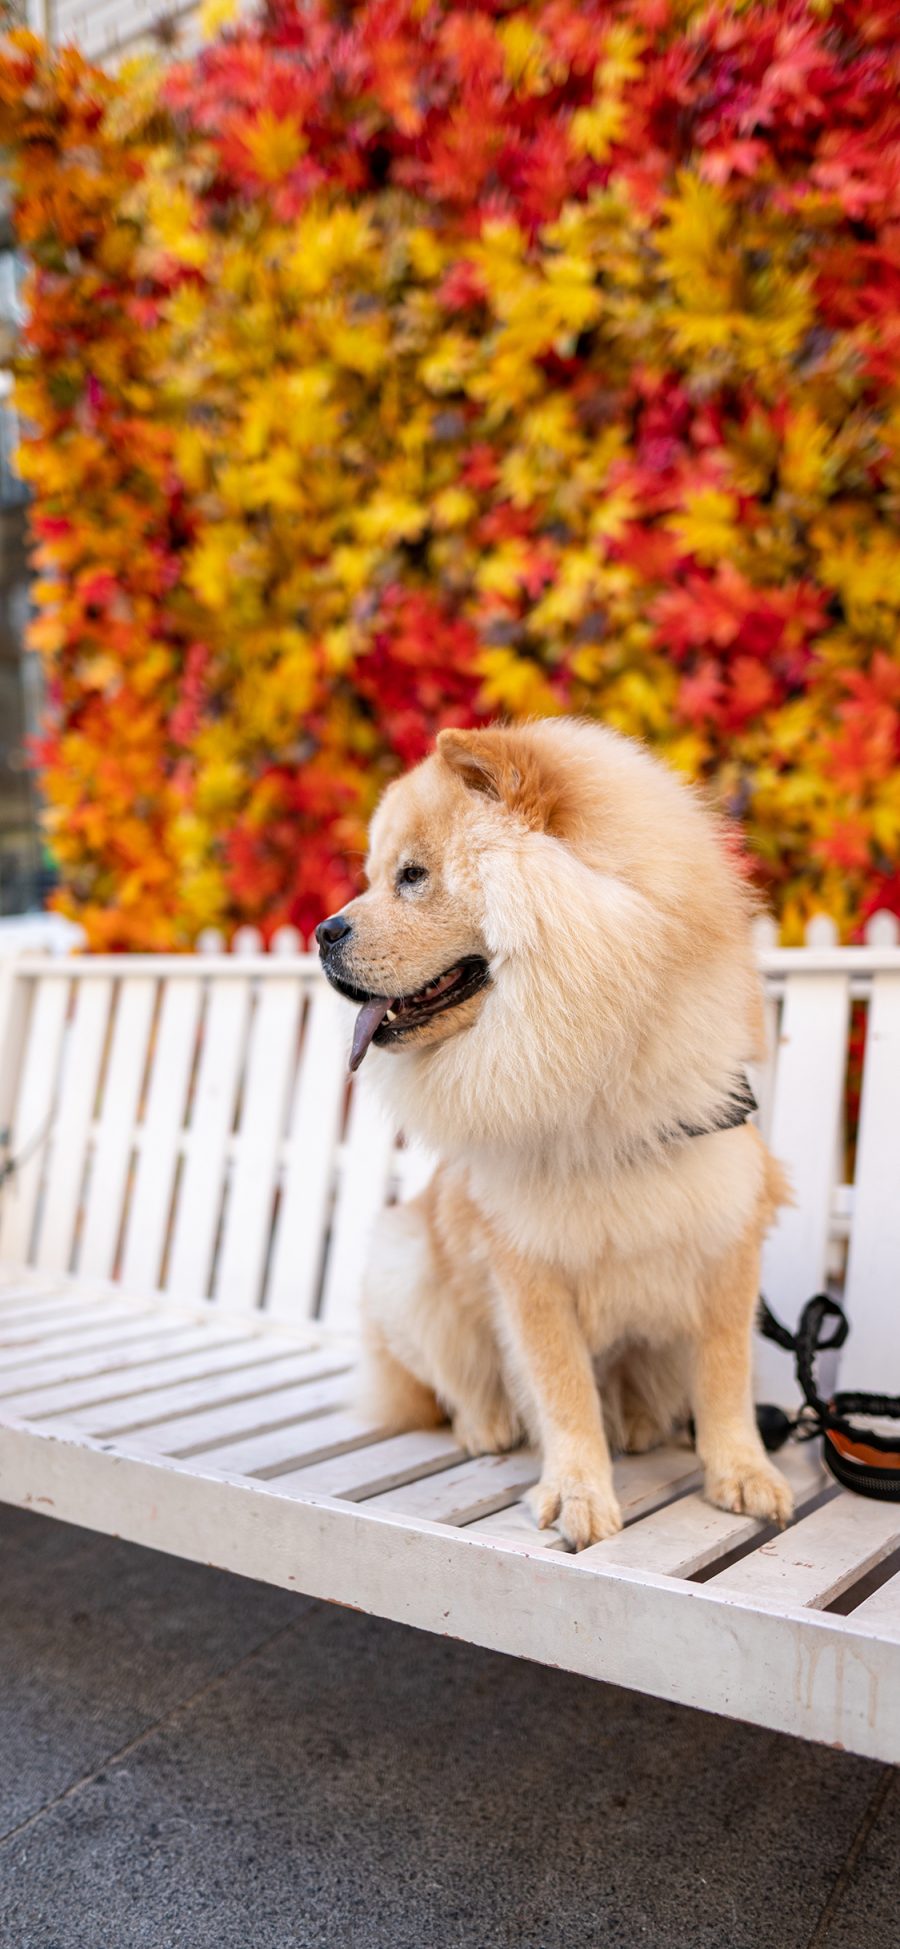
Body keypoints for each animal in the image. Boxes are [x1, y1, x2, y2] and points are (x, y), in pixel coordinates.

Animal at [317, 721, 794, 1551]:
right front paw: (577, 1494)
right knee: (454, 1383)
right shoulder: (528, 1266)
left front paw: (741, 1473)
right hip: (405, 1263)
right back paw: (489, 1426)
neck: (598, 1097)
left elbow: (726, 1377)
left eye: (412, 875)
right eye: (373, 877)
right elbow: (563, 1389)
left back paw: (640, 1422)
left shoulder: (725, 1239)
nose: (321, 930)